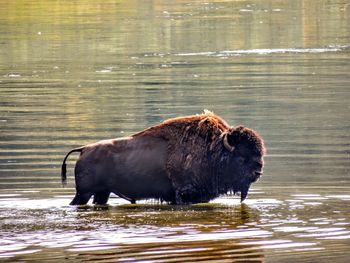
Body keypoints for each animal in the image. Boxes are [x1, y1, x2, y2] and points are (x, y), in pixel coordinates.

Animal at [61, 111, 266, 206]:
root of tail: (84, 149)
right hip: (84, 193)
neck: (213, 149)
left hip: (102, 193)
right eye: (241, 157)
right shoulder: (185, 194)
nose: (258, 172)